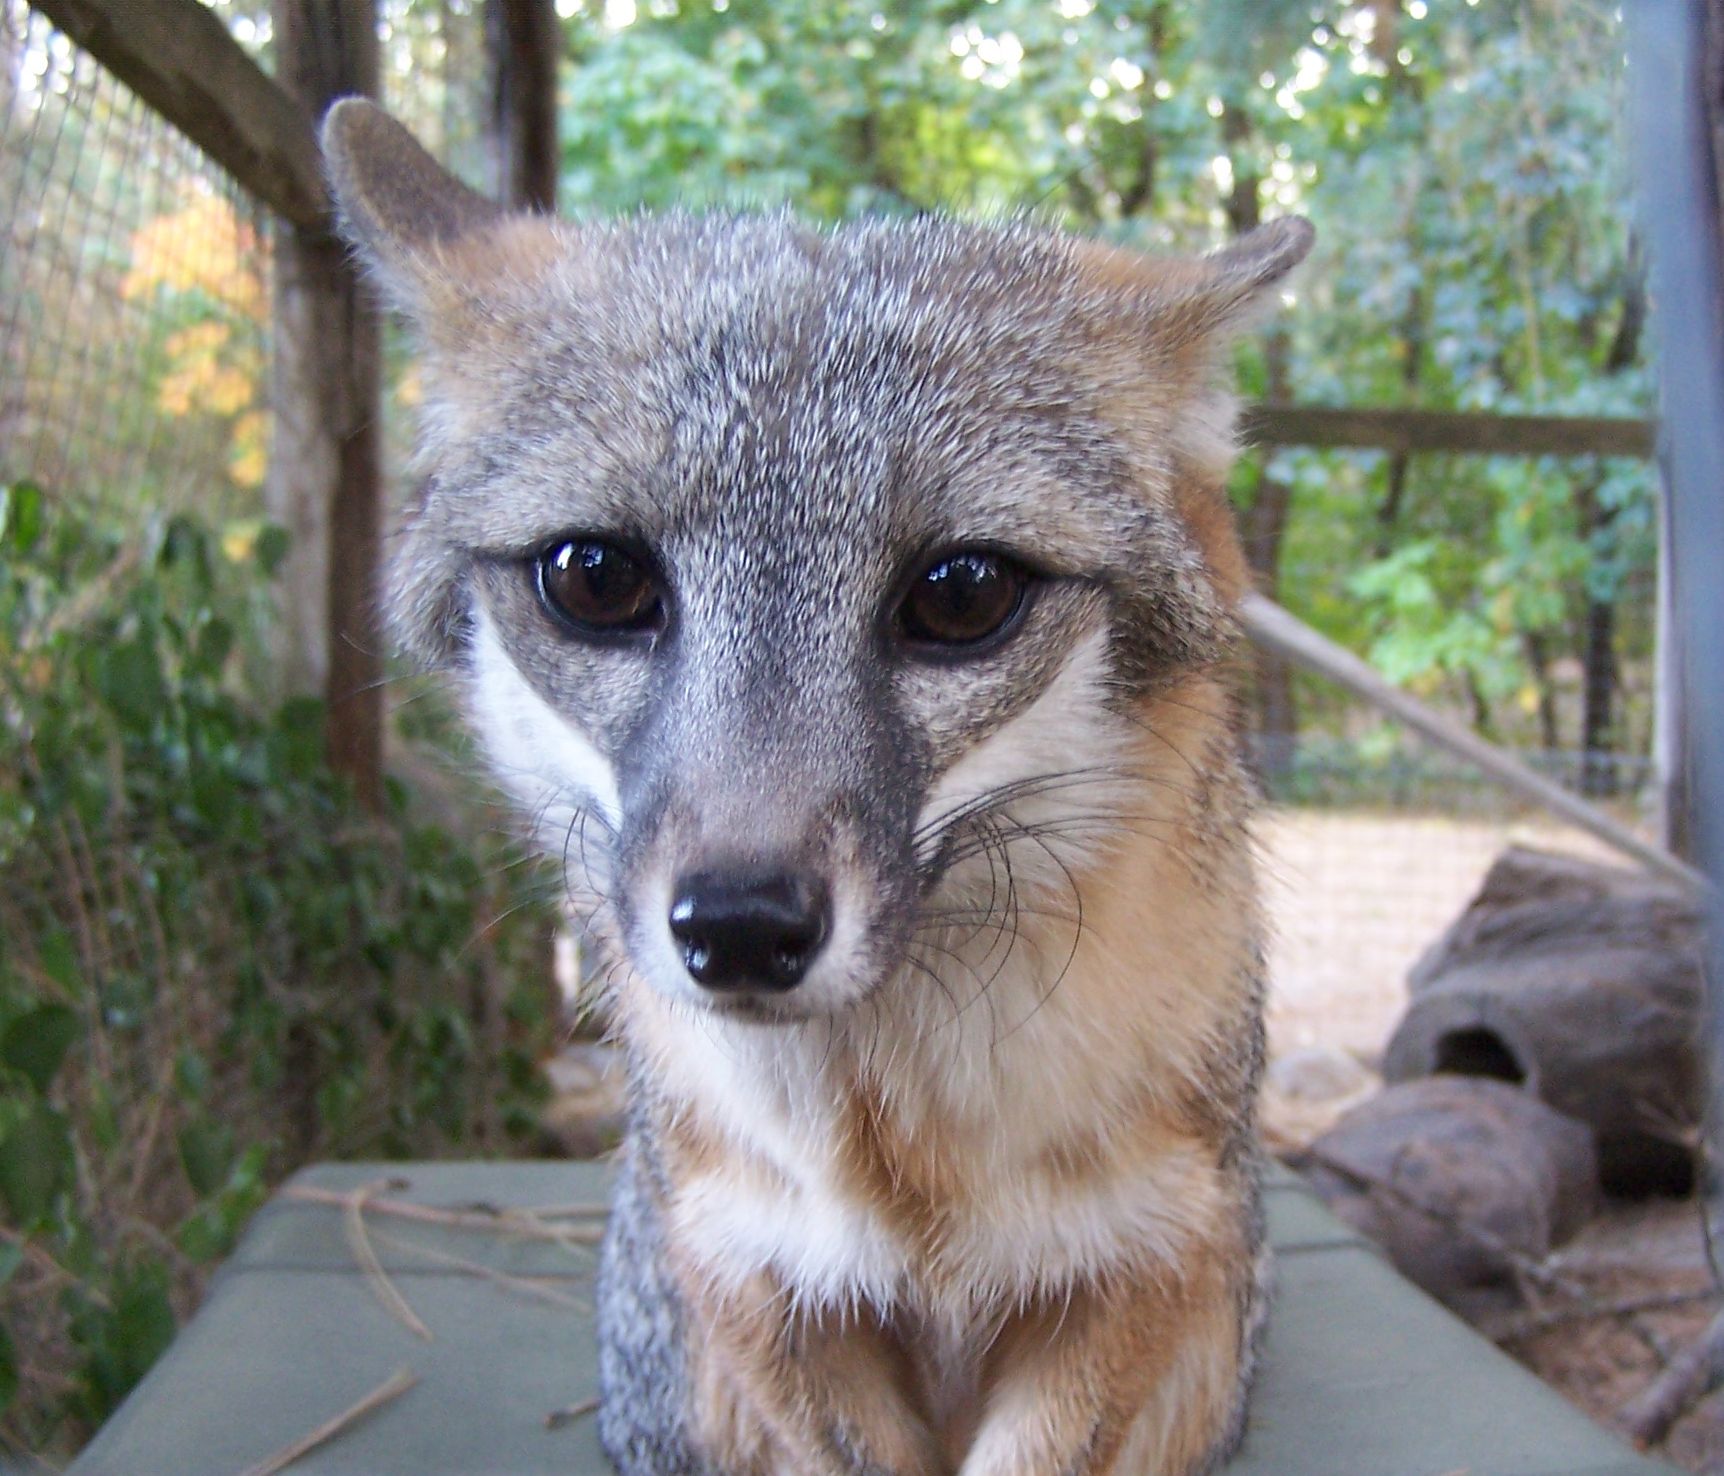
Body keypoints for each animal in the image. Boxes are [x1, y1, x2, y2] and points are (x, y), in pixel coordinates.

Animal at [322, 97, 1312, 1476]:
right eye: (593, 577)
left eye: (960, 593)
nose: (739, 928)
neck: (897, 1150)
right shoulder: (760, 1284)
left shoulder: (1135, 1265)